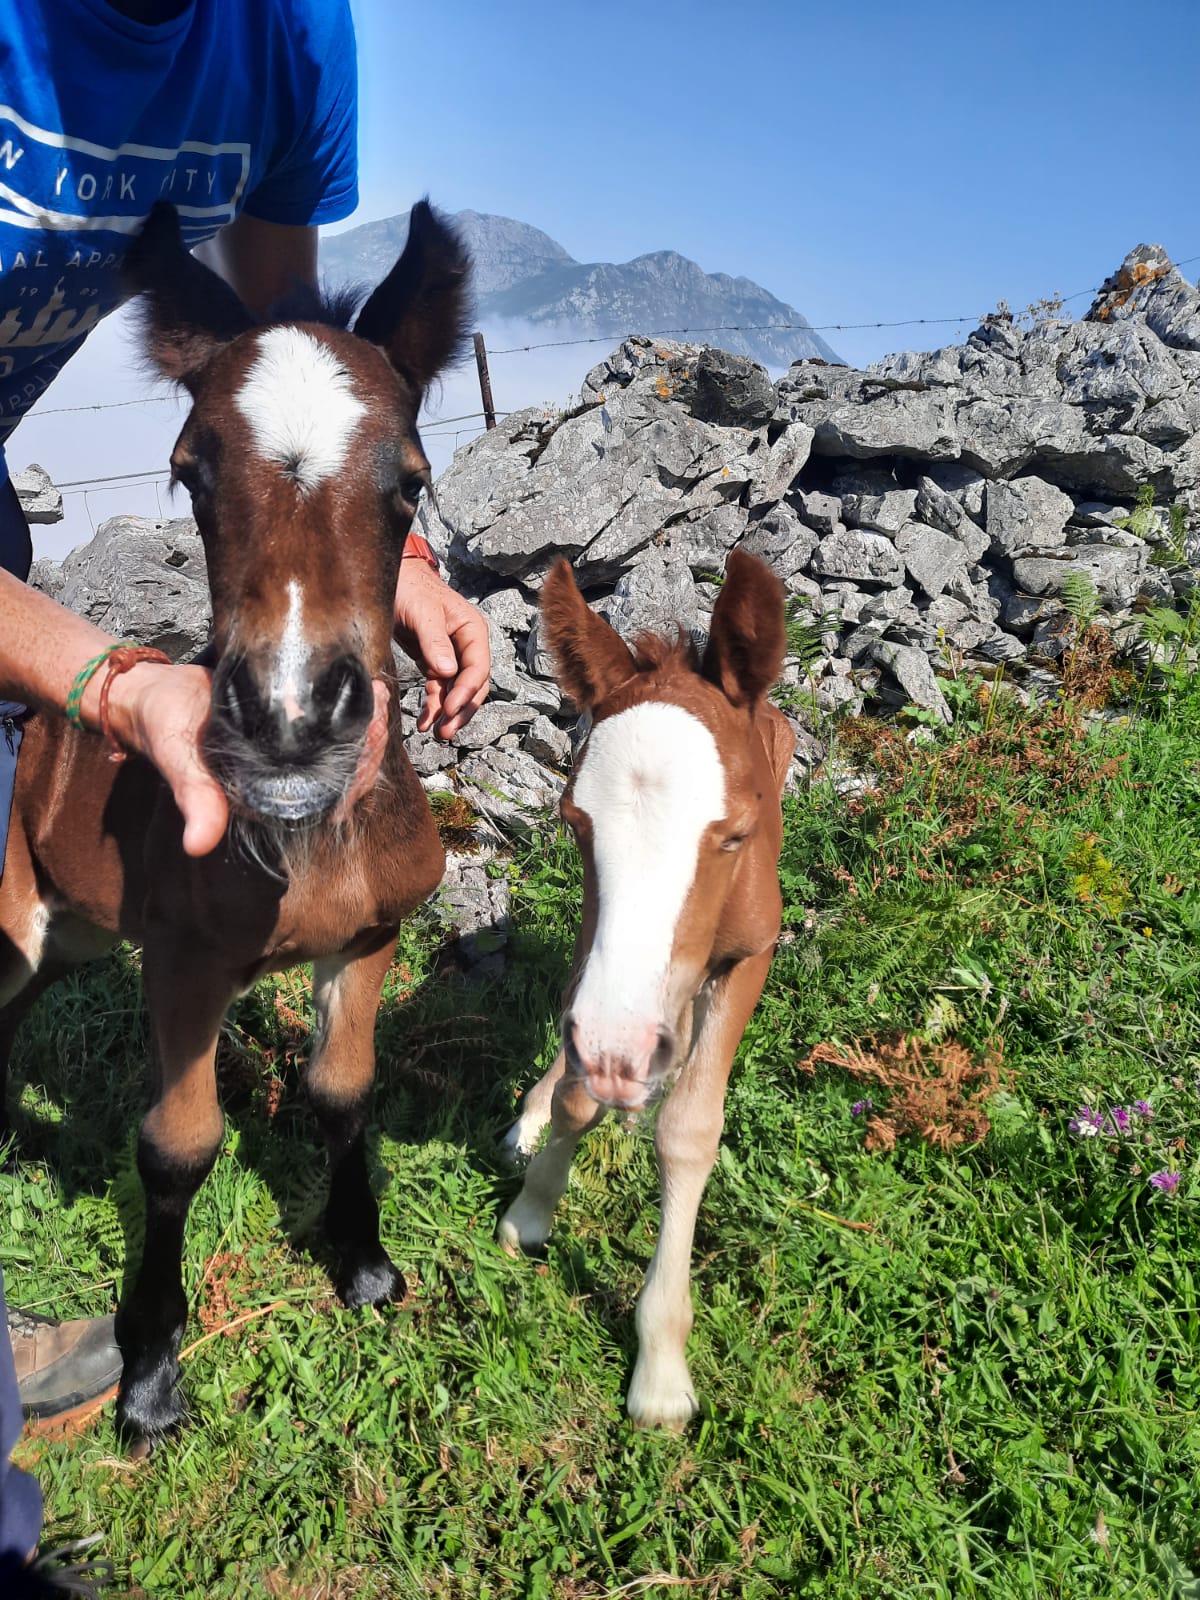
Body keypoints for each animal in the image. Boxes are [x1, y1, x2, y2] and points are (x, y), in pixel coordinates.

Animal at [0, 203, 470, 1452]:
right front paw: (151, 1376)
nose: (292, 720)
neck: (305, 851)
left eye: (409, 483)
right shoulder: (184, 960)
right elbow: (177, 1147)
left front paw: (364, 1263)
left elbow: (343, 1090)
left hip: (64, 940)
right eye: (189, 472)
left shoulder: (367, 939)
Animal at [499, 556, 800, 1433]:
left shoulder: (749, 956)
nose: (620, 1051)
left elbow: (689, 1132)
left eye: (735, 834)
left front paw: (661, 1365)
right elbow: (576, 1091)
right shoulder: (594, 952)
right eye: (575, 821)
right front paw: (533, 1207)